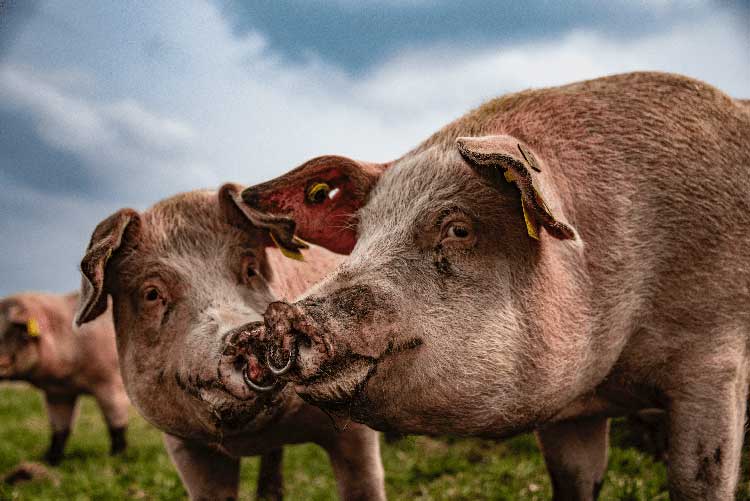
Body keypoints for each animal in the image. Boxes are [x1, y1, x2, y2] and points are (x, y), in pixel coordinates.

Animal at [0, 291, 128, 465]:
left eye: (17, 331)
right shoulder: (58, 393)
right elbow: (60, 428)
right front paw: (50, 460)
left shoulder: (110, 381)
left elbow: (115, 422)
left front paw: (116, 457)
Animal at [74, 185, 385, 501]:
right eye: (151, 294)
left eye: (251, 269)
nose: (246, 332)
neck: (255, 437)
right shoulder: (184, 445)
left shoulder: (352, 422)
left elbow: (363, 486)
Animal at [238, 72, 750, 501]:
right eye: (361, 233)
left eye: (459, 229)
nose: (285, 314)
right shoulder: (572, 416)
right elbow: (574, 483)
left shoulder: (717, 362)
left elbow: (699, 480)